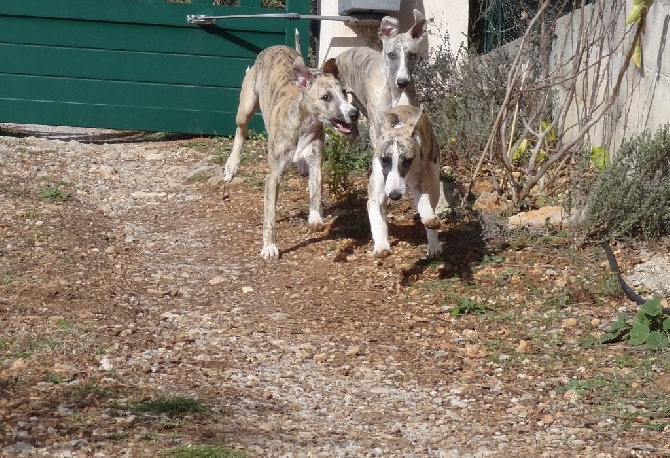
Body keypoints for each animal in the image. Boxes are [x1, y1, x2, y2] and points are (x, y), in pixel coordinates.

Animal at [223, 45, 360, 260]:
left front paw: (315, 219)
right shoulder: (273, 176)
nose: (354, 113)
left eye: (344, 92)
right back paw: (231, 165)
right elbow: (270, 216)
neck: (303, 124)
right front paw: (269, 247)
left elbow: (315, 193)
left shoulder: (316, 163)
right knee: (240, 130)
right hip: (246, 105)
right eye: (326, 97)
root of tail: (275, 47)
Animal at [368, 105, 440, 260]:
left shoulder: (420, 184)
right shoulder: (375, 196)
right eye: (385, 160)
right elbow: (377, 218)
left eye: (407, 161)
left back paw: (433, 245)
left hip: (434, 179)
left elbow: (424, 202)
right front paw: (381, 246)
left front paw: (429, 218)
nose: (395, 195)